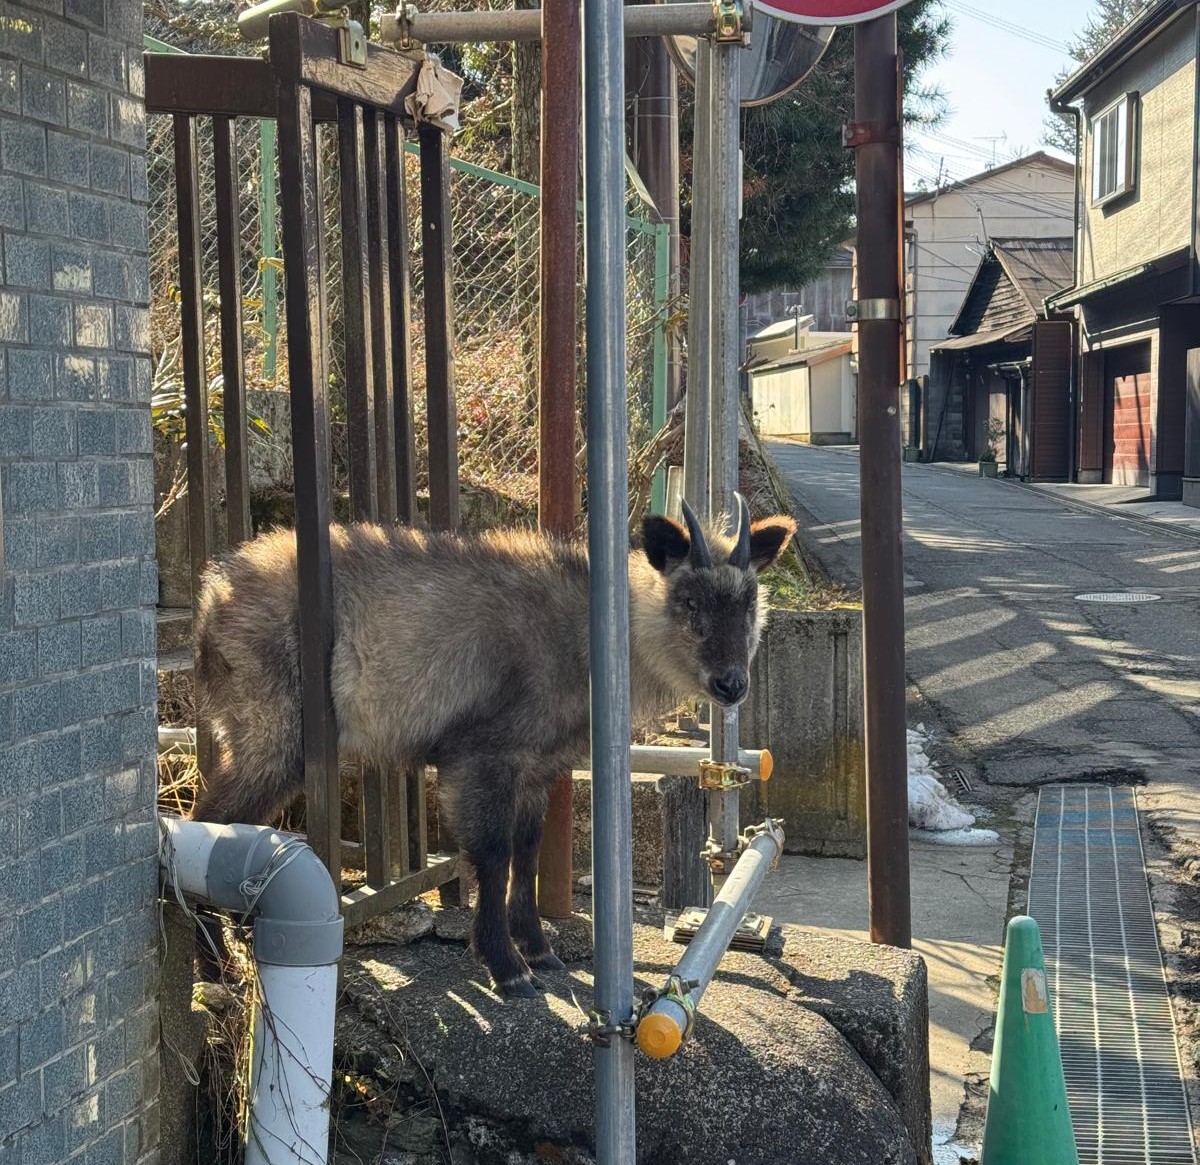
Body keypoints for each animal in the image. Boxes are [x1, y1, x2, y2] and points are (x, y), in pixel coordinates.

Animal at [190, 495, 795, 996]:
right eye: (689, 600)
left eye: (749, 601)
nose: (732, 684)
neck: (590, 637)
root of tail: (210, 593)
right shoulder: (479, 758)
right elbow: (491, 854)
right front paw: (505, 966)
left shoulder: (538, 767)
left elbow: (526, 852)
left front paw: (538, 948)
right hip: (274, 737)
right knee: (207, 824)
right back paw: (212, 968)